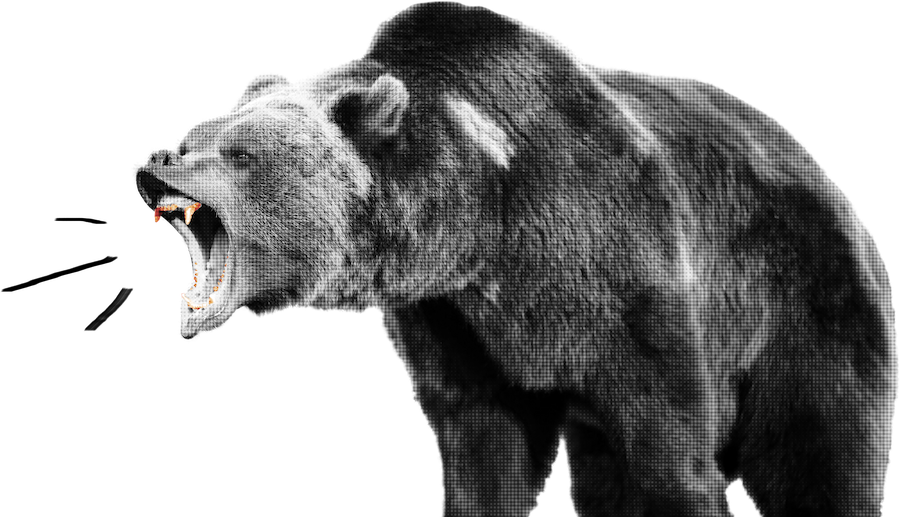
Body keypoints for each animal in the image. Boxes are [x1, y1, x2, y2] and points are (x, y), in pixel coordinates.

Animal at [131, 2, 897, 516]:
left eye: (238, 153)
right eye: (196, 130)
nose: (157, 159)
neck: (481, 225)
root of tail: (827, 177)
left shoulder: (623, 271)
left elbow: (669, 452)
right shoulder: (453, 320)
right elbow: (486, 451)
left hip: (803, 300)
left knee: (821, 451)